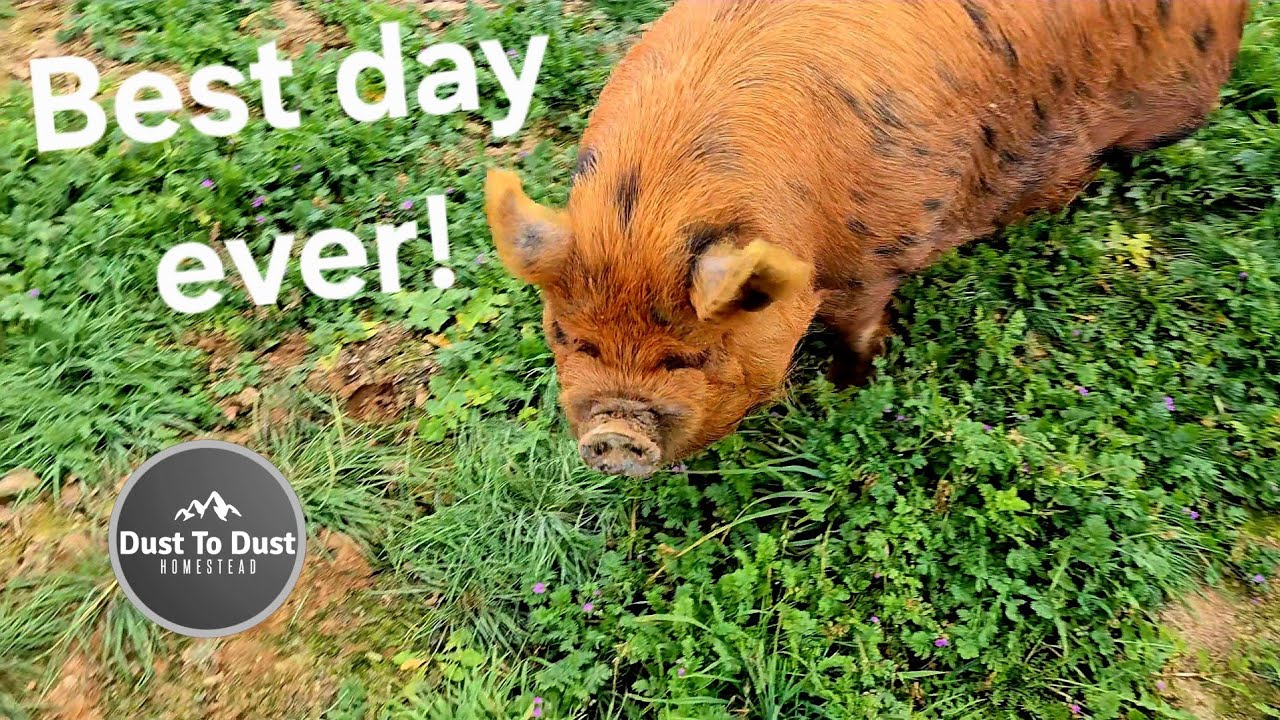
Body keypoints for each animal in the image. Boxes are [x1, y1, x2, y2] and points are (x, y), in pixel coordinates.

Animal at [485, 0, 1248, 477]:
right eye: (569, 338)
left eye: (692, 355)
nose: (614, 434)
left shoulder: (880, 252)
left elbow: (858, 325)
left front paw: (845, 388)